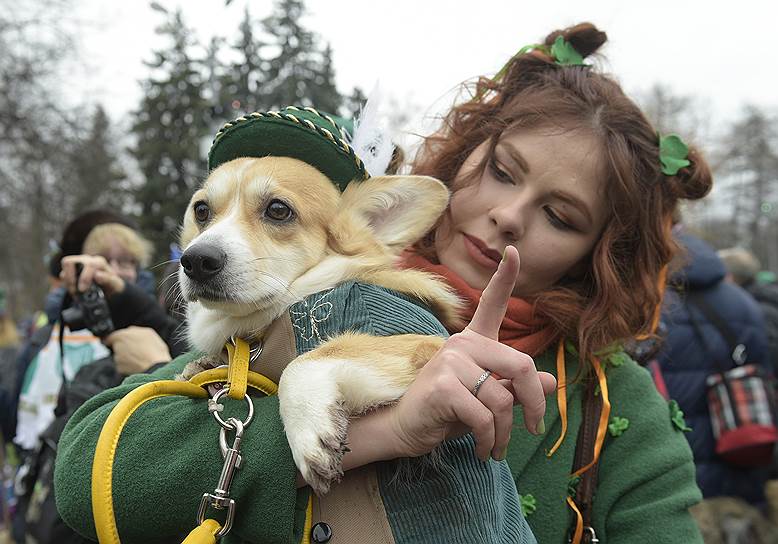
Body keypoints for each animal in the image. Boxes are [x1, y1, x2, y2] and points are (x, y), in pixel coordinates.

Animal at [176, 156, 460, 492]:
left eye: (278, 209)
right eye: (201, 210)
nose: (195, 260)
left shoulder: (430, 341)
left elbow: (305, 360)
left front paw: (309, 428)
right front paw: (205, 369)